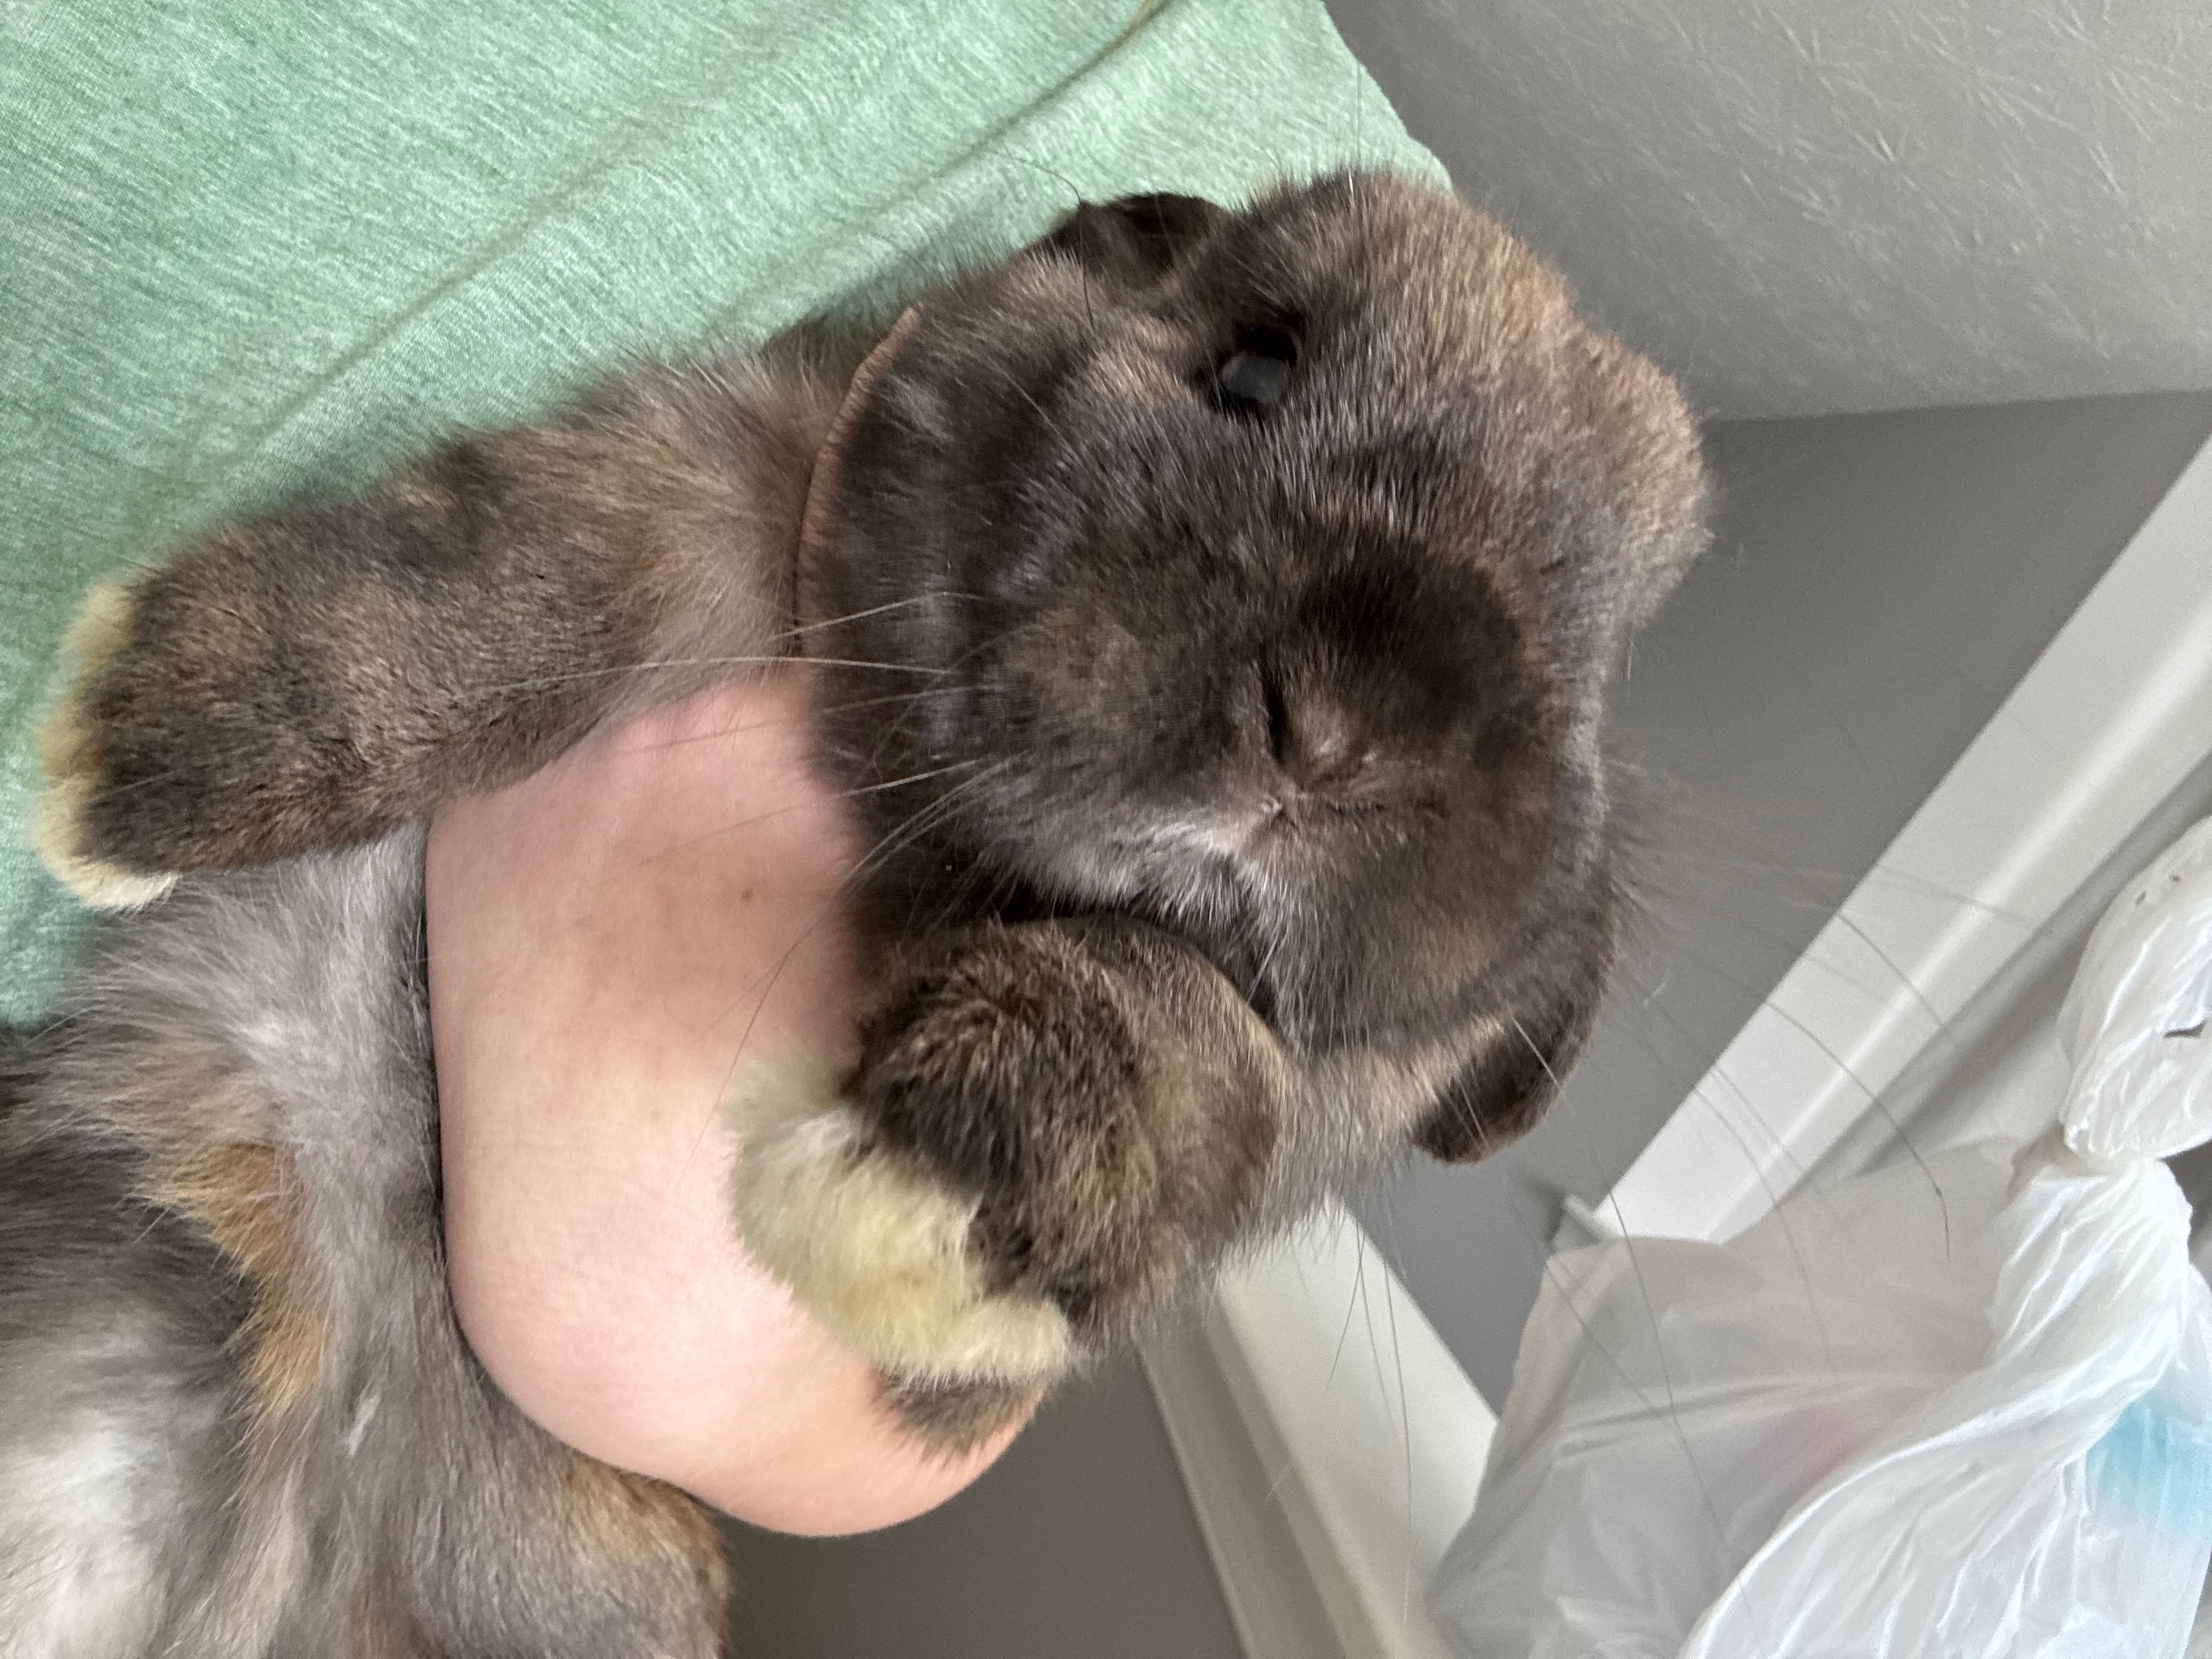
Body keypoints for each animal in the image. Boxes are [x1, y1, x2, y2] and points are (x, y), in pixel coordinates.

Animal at [2, 170, 1707, 1655]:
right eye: (1253, 363)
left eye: (1602, 651)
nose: (1344, 733)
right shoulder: (722, 474)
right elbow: (530, 576)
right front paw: (137, 748)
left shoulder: (1000, 1343)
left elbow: (1203, 1038)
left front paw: (928, 1204)